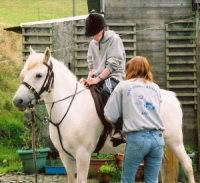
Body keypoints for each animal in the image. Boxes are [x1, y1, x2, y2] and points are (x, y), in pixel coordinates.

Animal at [12, 48, 194, 182]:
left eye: (39, 75)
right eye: (23, 74)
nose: (17, 101)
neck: (70, 109)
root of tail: (170, 96)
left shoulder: (83, 155)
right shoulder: (66, 156)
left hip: (175, 142)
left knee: (187, 165)